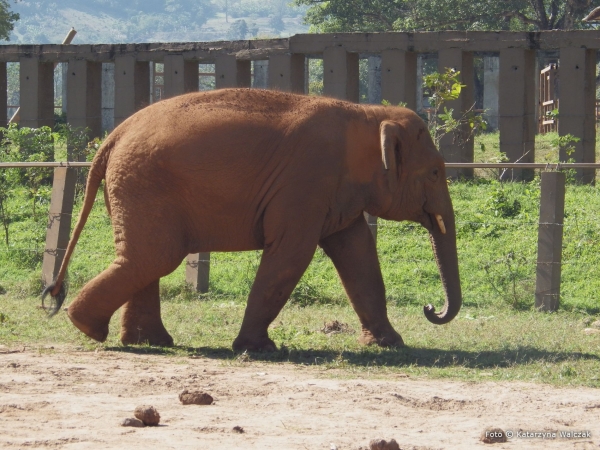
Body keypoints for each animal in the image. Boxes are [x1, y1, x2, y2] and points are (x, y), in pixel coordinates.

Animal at [43, 88, 464, 352]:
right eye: (435, 173)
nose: (430, 309)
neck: (366, 114)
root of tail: (113, 137)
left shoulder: (332, 192)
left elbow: (357, 253)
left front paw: (390, 345)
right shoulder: (306, 182)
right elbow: (292, 254)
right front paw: (258, 349)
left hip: (133, 187)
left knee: (145, 259)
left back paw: (145, 341)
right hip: (143, 184)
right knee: (154, 257)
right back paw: (91, 329)